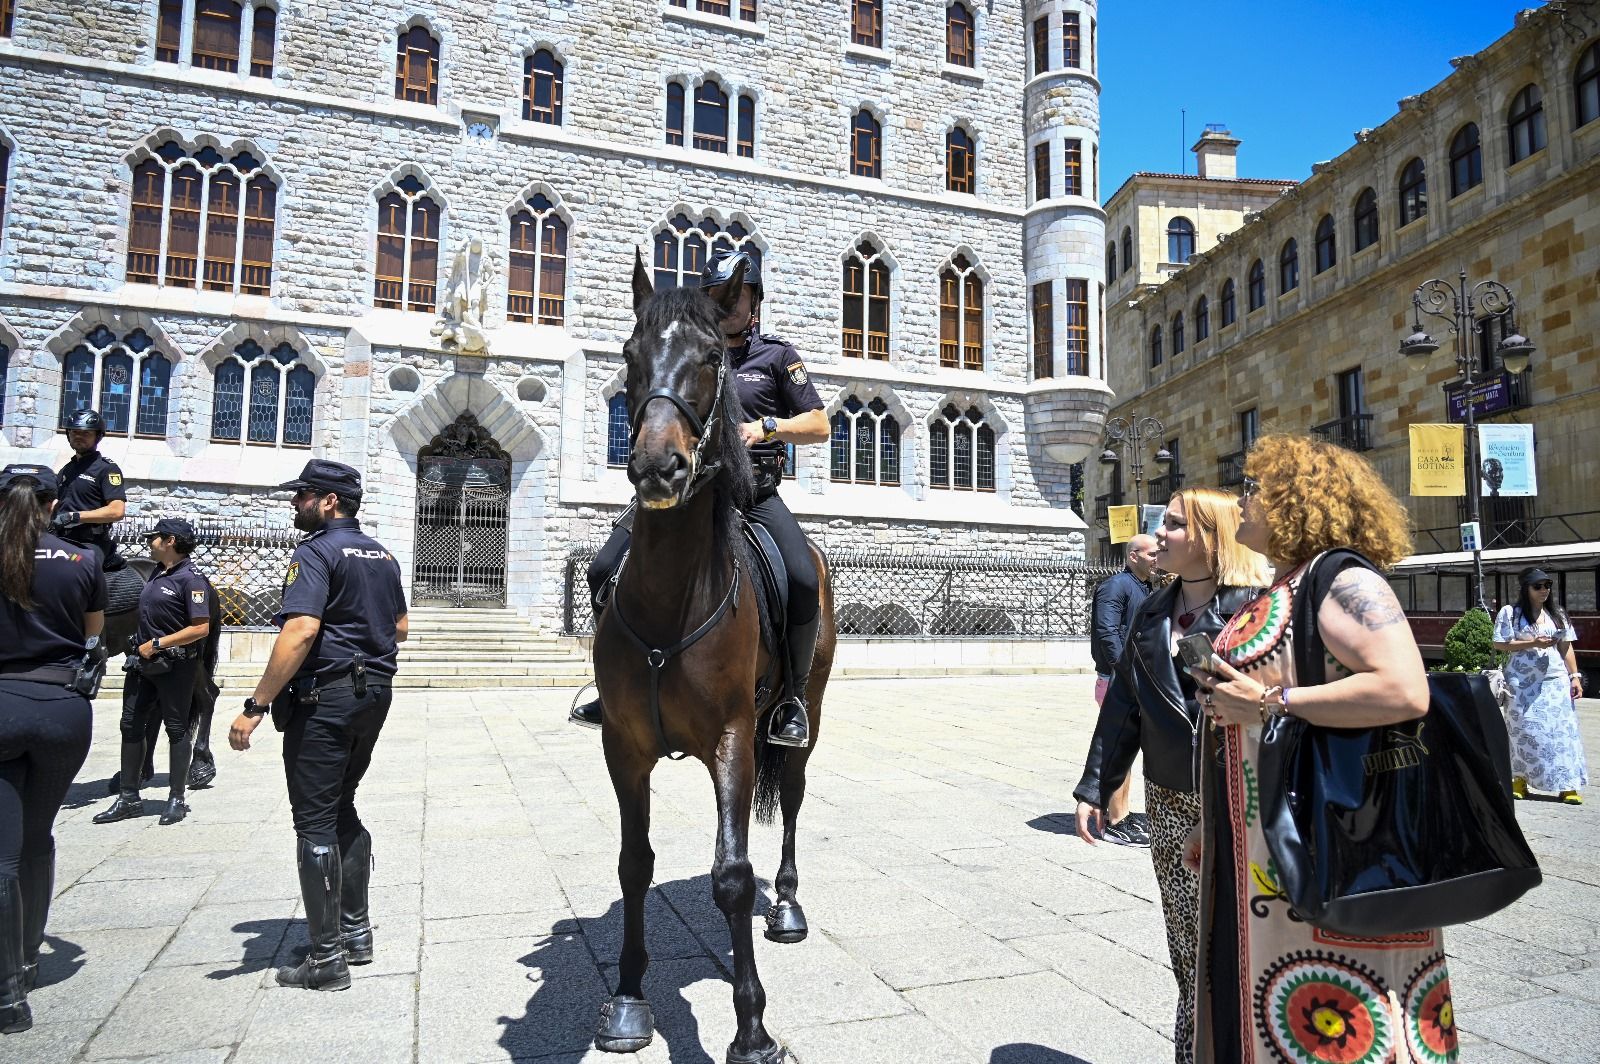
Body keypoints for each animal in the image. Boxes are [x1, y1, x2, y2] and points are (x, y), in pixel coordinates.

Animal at [588, 252, 838, 1056]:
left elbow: (732, 873)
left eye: (708, 360)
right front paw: (629, 998)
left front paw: (752, 1028)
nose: (657, 467)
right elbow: (634, 863)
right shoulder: (624, 744)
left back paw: (786, 905)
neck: (672, 598)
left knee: (791, 796)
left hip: (799, 716)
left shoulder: (731, 736)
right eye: (630, 354)